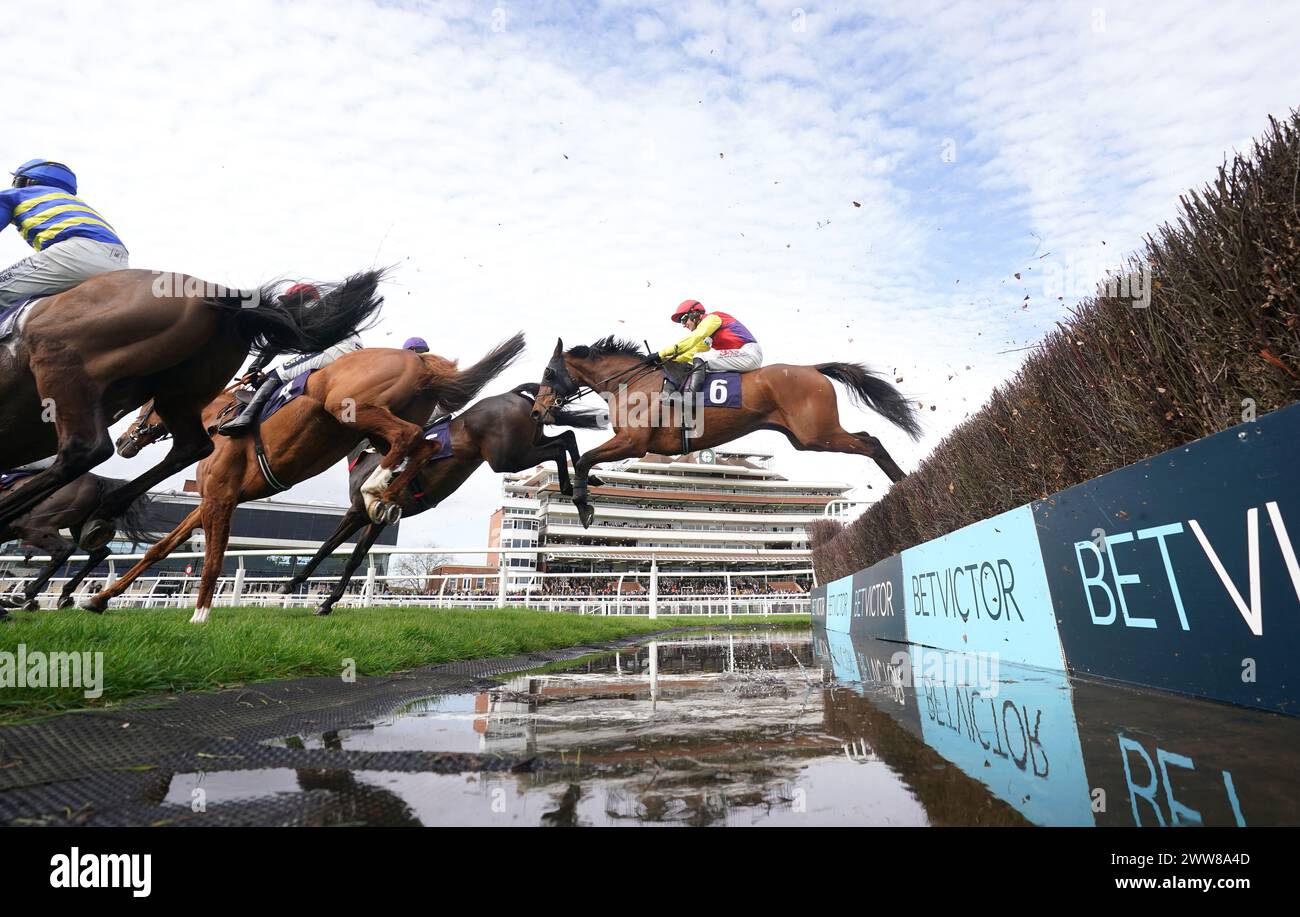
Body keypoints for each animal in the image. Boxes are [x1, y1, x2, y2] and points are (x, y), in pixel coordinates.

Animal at [0, 473, 156, 613]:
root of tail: (98, 480)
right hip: (82, 527)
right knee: (100, 552)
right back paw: (65, 595)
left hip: (33, 525)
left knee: (64, 549)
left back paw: (26, 596)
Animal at [85, 332, 527, 619]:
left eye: (146, 404)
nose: (124, 441)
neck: (217, 418)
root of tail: (420, 362)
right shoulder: (212, 497)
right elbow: (161, 548)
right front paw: (100, 599)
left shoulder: (223, 495)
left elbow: (214, 556)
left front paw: (201, 617)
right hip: (380, 421)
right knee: (421, 444)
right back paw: (384, 494)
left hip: (350, 406)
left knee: (411, 438)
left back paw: (377, 489)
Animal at [279, 379, 603, 613]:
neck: (371, 458)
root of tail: (512, 394)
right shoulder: (370, 517)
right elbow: (341, 553)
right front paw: (309, 593)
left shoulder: (364, 513)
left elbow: (336, 552)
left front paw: (313, 597)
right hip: (529, 440)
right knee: (565, 438)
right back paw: (584, 486)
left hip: (508, 456)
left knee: (560, 446)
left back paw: (577, 493)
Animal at [530, 335, 925, 525]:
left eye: (548, 372)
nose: (536, 411)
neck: (632, 382)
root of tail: (812, 369)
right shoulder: (629, 443)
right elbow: (586, 459)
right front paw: (586, 494)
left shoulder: (632, 442)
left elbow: (586, 460)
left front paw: (584, 507)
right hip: (805, 438)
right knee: (867, 440)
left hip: (818, 433)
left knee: (870, 442)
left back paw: (904, 482)